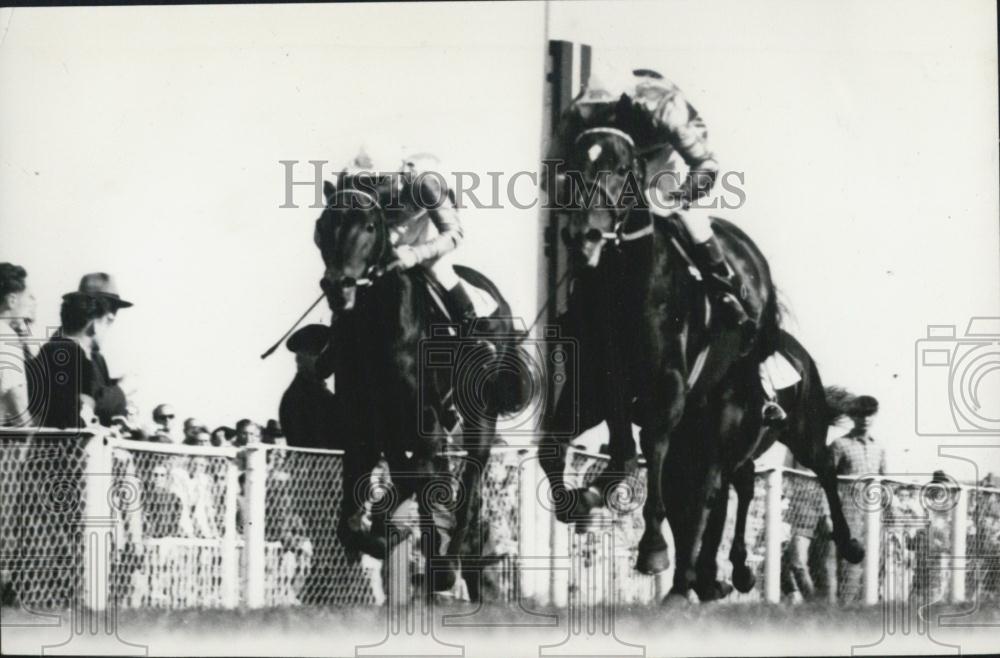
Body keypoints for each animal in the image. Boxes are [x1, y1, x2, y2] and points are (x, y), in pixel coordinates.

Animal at [544, 124, 864, 600]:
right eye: (572, 165)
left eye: (621, 168)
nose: (585, 235)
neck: (623, 286)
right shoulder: (596, 391)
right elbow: (560, 445)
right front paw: (584, 498)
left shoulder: (670, 392)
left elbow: (664, 466)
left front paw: (655, 549)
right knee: (739, 483)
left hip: (799, 423)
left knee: (821, 466)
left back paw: (847, 543)